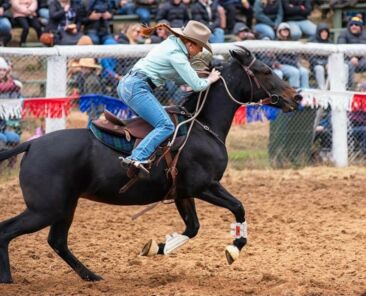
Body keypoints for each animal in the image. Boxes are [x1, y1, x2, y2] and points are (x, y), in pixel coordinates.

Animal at [0, 46, 298, 284]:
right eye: (265, 71)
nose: (295, 97)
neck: (202, 127)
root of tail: (32, 145)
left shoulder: (182, 192)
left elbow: (193, 227)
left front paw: (156, 247)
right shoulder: (204, 186)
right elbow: (238, 207)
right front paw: (234, 248)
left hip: (64, 207)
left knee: (57, 241)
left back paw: (91, 276)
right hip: (46, 208)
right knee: (8, 231)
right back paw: (9, 279)